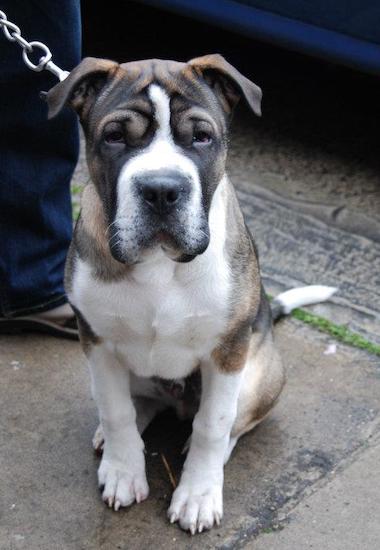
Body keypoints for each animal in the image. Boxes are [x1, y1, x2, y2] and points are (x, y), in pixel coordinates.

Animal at [45, 55, 336, 536]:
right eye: (114, 136)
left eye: (201, 137)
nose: (161, 190)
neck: (160, 264)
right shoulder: (98, 342)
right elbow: (117, 411)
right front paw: (123, 471)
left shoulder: (227, 351)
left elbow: (212, 426)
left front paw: (198, 495)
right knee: (136, 403)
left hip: (259, 375)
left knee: (232, 422)